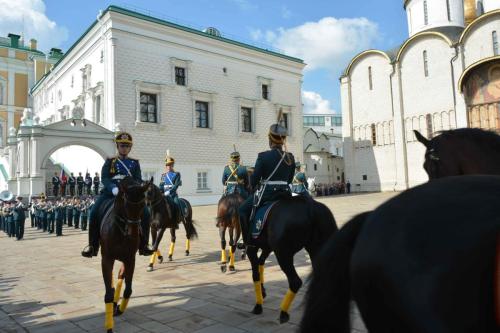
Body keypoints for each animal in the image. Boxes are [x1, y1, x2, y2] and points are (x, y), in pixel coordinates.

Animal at [97, 175, 150, 330]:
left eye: (143, 205)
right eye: (126, 205)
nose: (134, 235)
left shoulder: (130, 259)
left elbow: (128, 290)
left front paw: (120, 308)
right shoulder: (106, 259)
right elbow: (108, 293)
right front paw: (109, 326)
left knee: (121, 276)